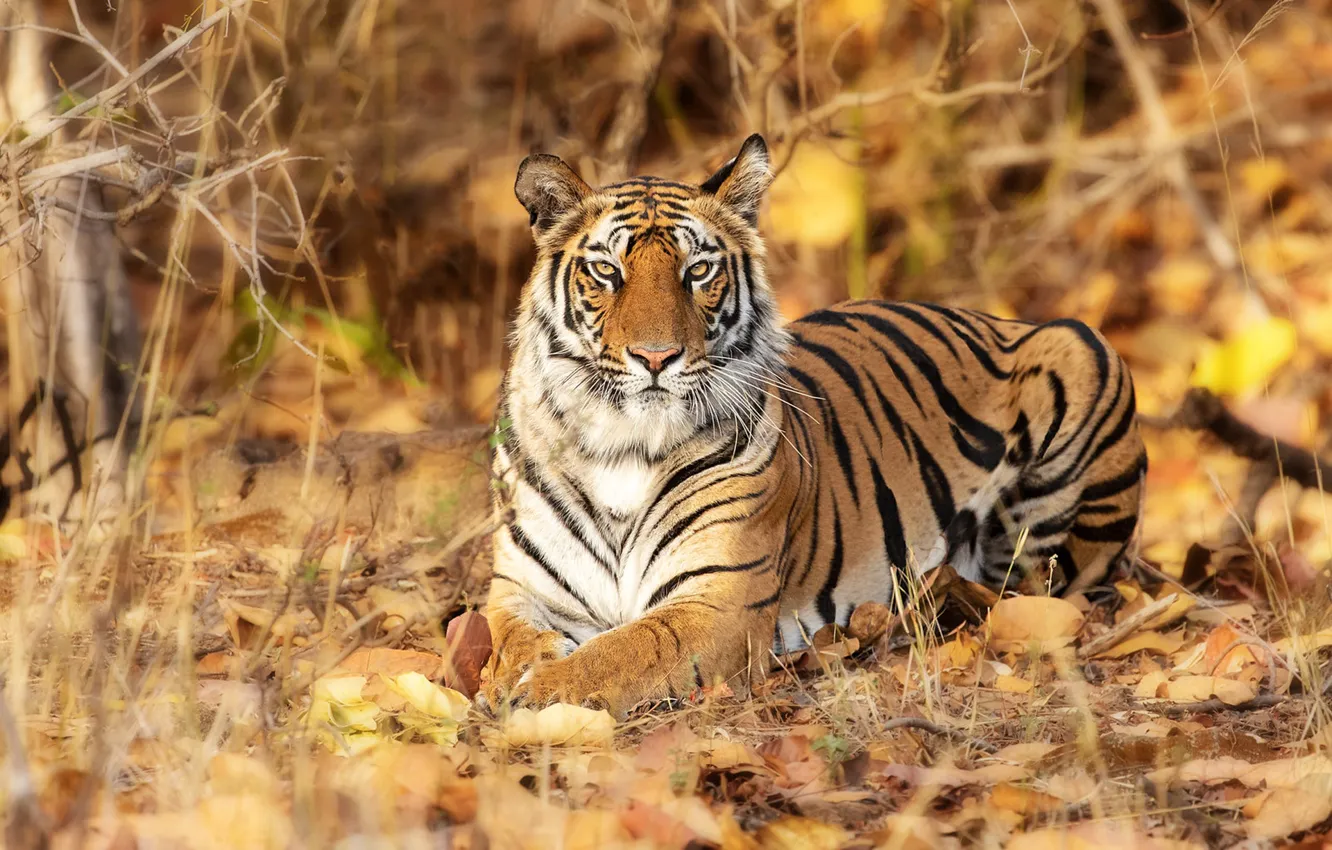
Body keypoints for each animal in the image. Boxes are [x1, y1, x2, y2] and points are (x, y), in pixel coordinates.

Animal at [480, 134, 1146, 718]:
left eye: (698, 272)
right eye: (607, 272)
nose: (655, 356)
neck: (621, 445)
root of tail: (994, 318)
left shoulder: (717, 601)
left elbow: (620, 652)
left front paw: (539, 692)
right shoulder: (519, 588)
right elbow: (505, 640)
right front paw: (509, 677)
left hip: (1080, 353)